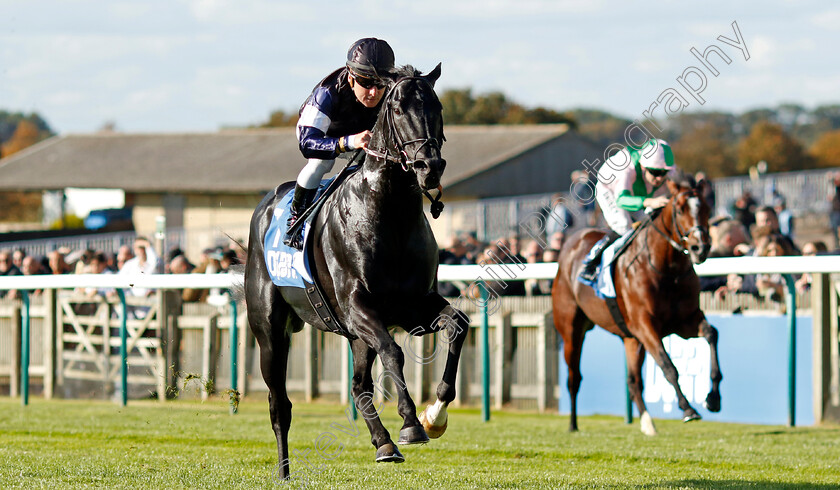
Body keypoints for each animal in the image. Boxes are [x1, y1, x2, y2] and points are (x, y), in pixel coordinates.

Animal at [246, 64, 476, 478]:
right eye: (398, 109)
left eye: (437, 107)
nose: (429, 166)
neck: (390, 215)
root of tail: (266, 206)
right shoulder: (358, 306)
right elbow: (394, 352)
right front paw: (411, 424)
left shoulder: (413, 307)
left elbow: (459, 325)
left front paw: (435, 415)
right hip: (270, 333)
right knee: (279, 404)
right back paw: (284, 471)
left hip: (354, 336)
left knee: (358, 386)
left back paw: (383, 443)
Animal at [552, 174, 720, 434]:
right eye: (680, 209)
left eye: (707, 209)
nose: (700, 247)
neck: (667, 269)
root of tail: (571, 244)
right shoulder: (645, 324)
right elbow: (668, 365)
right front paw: (688, 409)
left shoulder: (684, 321)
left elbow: (712, 334)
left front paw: (713, 398)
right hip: (571, 331)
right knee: (574, 378)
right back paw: (572, 424)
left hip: (631, 339)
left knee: (633, 381)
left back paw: (648, 423)